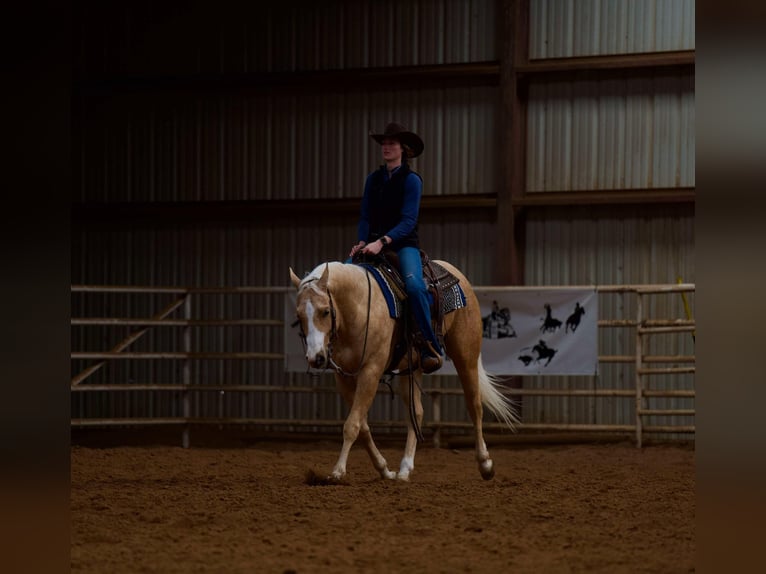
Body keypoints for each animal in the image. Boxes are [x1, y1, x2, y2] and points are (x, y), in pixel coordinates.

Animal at [290, 260, 520, 482]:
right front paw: (384, 470)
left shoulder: (371, 371)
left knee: (475, 406)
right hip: (411, 369)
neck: (359, 308)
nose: (316, 358)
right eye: (299, 316)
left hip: (466, 356)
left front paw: (337, 471)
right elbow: (362, 425)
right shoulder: (344, 377)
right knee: (416, 412)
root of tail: (456, 274)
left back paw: (485, 464)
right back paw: (404, 469)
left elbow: (352, 424)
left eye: (325, 311)